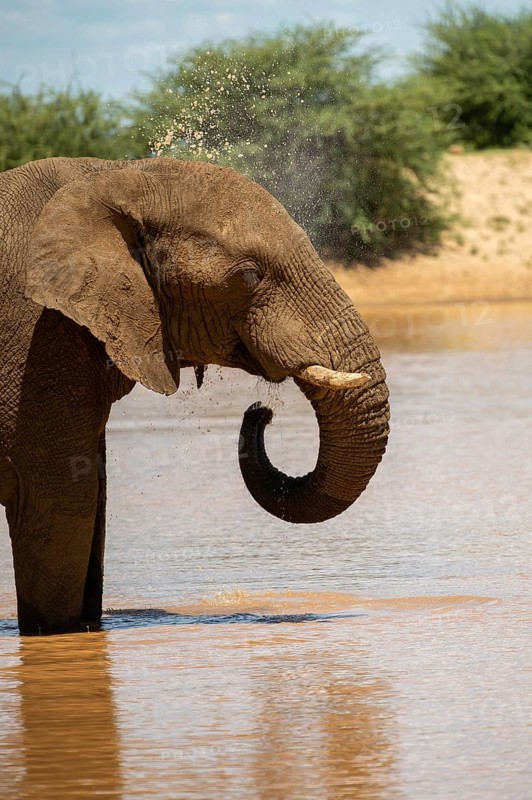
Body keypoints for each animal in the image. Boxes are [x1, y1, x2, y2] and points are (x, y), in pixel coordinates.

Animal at [0, 156, 389, 634]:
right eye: (249, 276)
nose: (260, 412)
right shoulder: (36, 340)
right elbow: (61, 499)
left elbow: (93, 496)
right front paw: (57, 635)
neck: (115, 175)